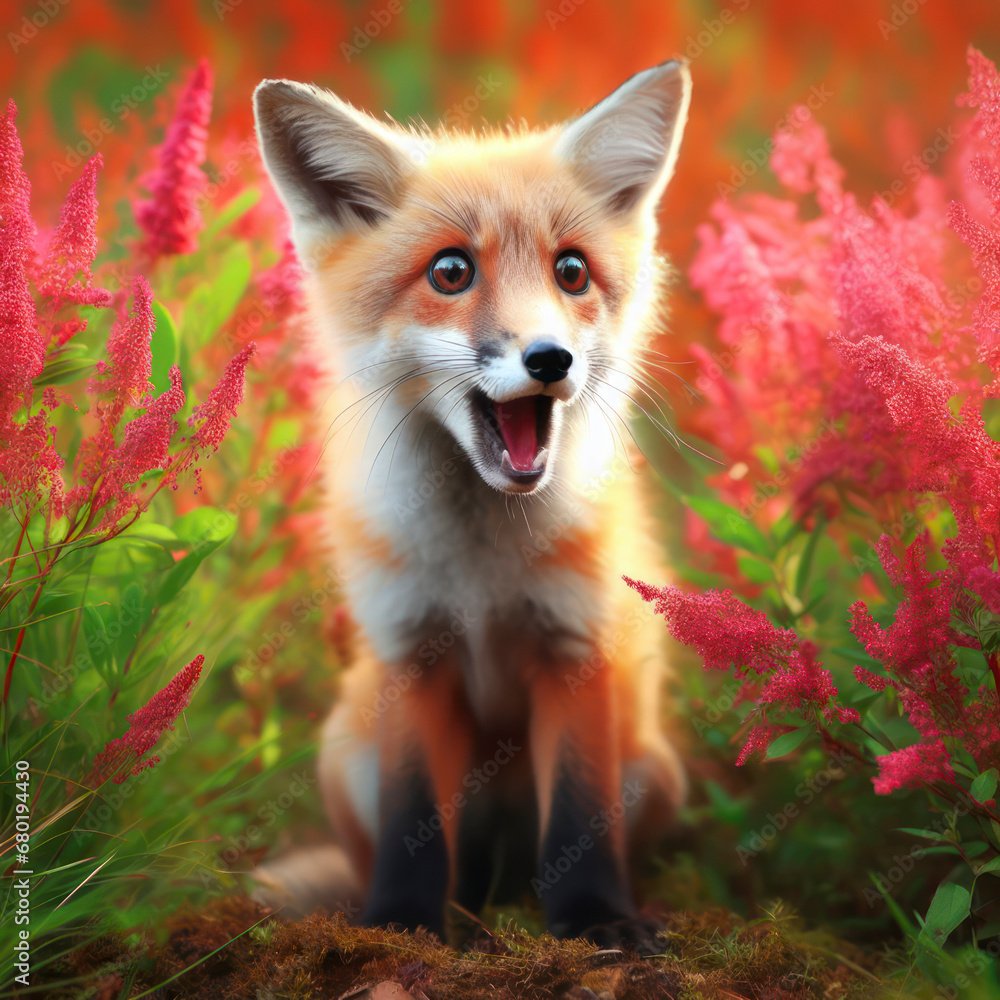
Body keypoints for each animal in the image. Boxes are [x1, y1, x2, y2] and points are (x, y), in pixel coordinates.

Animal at [251, 59, 692, 944]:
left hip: (652, 771)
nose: (550, 358)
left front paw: (596, 922)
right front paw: (400, 925)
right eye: (451, 271)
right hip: (347, 750)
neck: (482, 572)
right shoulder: (411, 653)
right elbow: (414, 824)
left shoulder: (576, 644)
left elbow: (581, 819)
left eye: (572, 272)